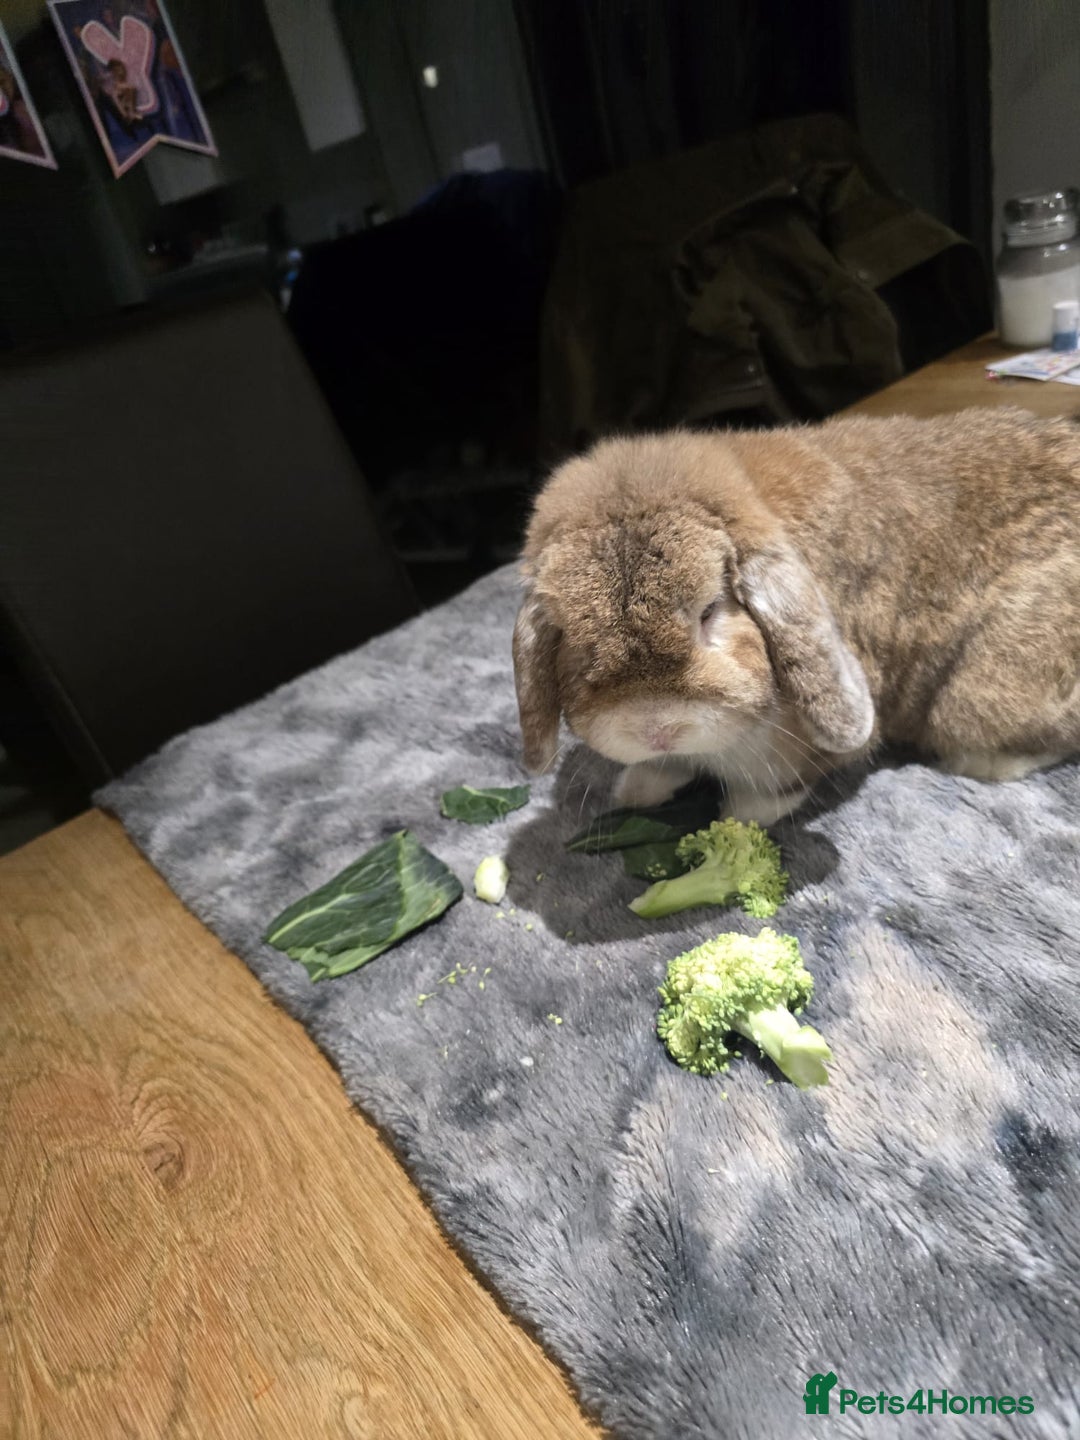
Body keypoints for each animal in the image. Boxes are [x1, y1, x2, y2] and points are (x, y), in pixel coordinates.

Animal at [512, 407, 1080, 824]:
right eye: (575, 639)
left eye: (711, 611)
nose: (657, 729)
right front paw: (636, 789)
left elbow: (785, 786)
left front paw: (741, 815)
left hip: (983, 692)